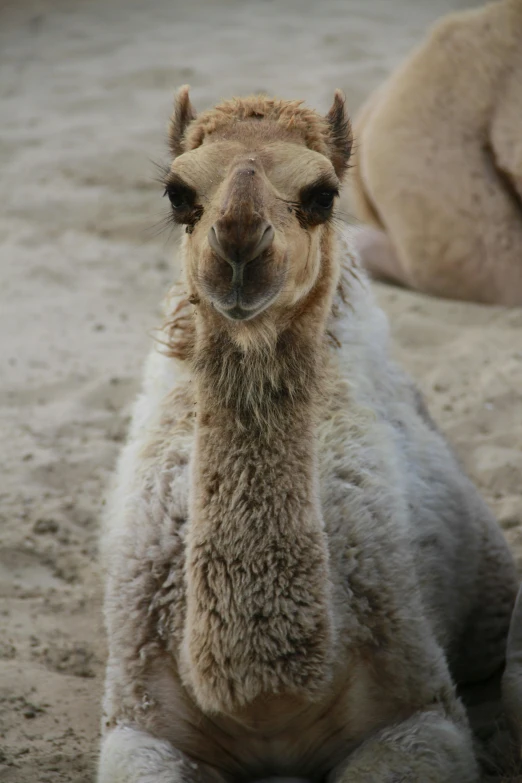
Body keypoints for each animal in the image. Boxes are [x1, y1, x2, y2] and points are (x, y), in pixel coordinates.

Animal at [96, 89, 516, 780]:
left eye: (322, 194)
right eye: (178, 193)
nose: (239, 243)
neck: (266, 699)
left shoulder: (420, 710)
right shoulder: (137, 719)